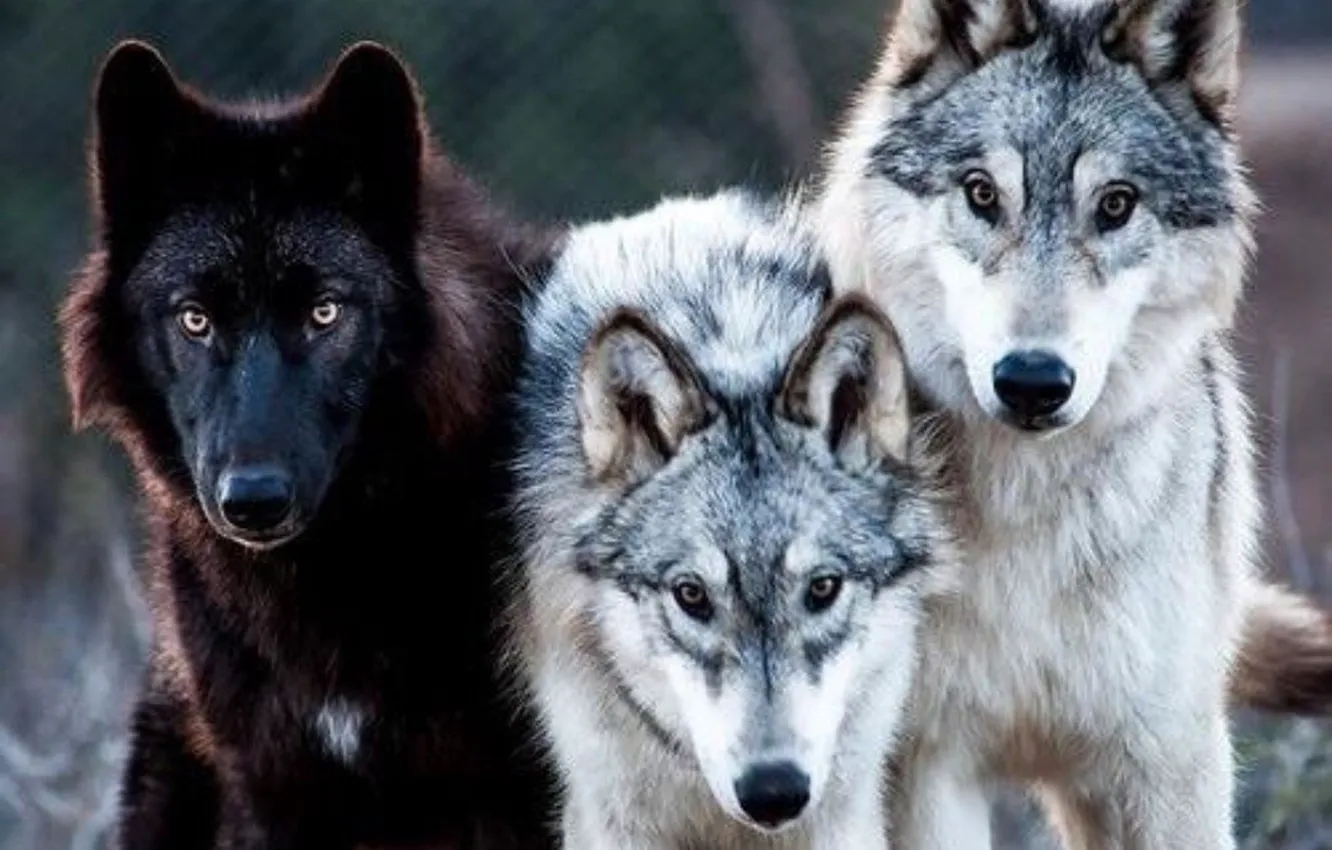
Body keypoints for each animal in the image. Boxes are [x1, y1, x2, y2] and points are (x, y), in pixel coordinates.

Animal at [504, 190, 956, 850]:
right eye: (691, 595)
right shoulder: (610, 815)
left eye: (823, 588)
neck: (729, 352)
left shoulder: (841, 813)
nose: (773, 791)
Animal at [812, 0, 1332, 846]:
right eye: (983, 193)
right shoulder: (927, 765)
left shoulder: (1167, 761)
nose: (1032, 381)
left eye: (1115, 204)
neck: (1028, 521)